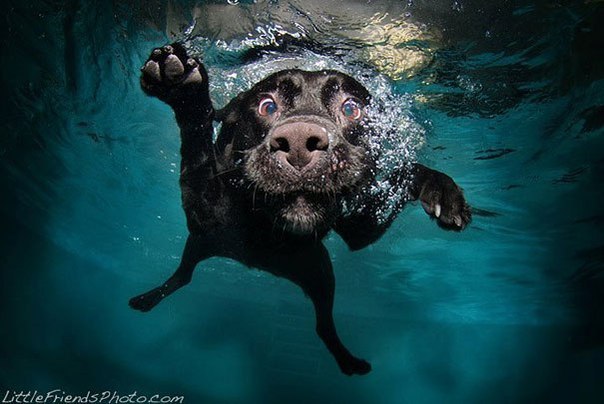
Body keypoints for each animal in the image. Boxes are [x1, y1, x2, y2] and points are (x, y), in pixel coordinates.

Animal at [129, 43, 472, 376]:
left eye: (351, 108)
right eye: (267, 106)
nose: (297, 142)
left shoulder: (361, 228)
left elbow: (405, 172)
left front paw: (442, 190)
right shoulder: (204, 211)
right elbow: (197, 149)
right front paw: (183, 88)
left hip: (319, 273)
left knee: (322, 325)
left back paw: (349, 362)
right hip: (201, 244)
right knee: (183, 276)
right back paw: (147, 299)